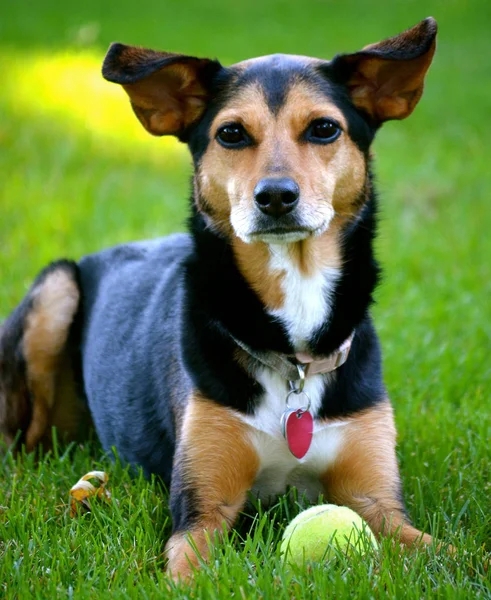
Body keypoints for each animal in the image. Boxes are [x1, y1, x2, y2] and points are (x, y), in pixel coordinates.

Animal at [0, 17, 440, 580]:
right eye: (231, 133)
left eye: (324, 128)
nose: (275, 196)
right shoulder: (202, 511)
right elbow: (190, 568)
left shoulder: (378, 502)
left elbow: (450, 553)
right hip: (56, 290)